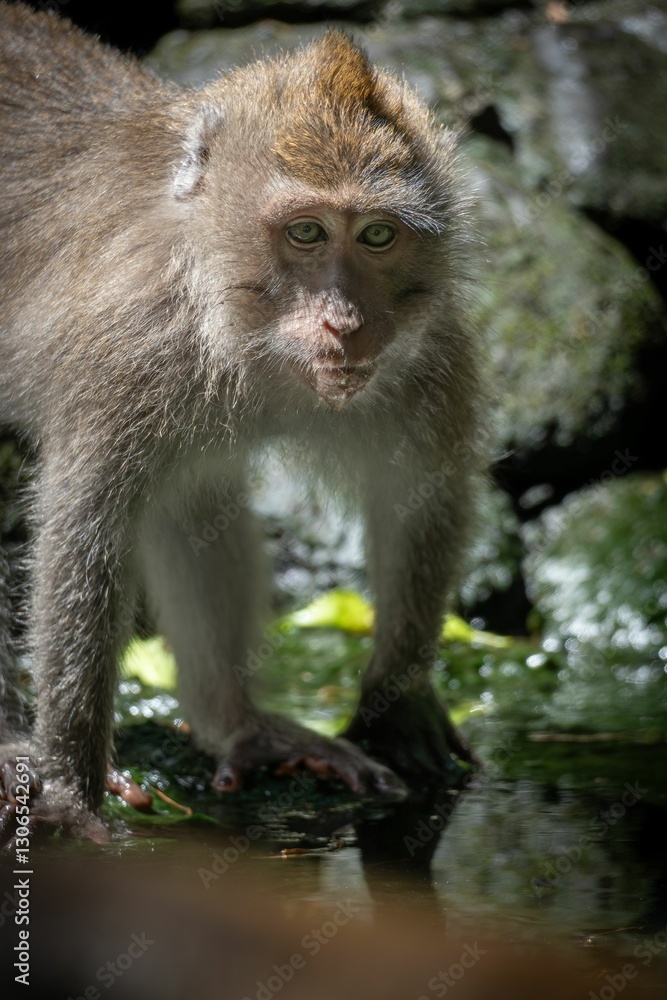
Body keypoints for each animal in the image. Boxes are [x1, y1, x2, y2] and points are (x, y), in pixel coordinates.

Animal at [0, 2, 487, 839]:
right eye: (305, 232)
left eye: (377, 235)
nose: (346, 324)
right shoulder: (129, 352)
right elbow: (86, 535)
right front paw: (64, 779)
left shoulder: (429, 350)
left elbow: (420, 497)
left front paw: (396, 700)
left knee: (192, 498)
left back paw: (239, 724)